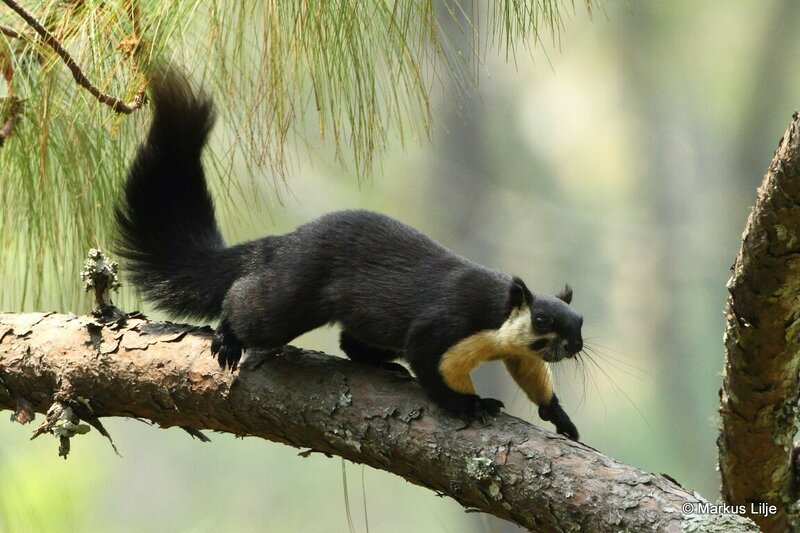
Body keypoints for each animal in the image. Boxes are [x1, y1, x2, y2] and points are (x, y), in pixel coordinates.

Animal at [115, 69, 584, 440]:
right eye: (542, 320)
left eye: (579, 320)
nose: (576, 345)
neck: (495, 313)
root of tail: (284, 242)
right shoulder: (443, 327)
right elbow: (434, 373)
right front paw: (473, 405)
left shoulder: (518, 353)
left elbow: (533, 377)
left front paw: (561, 418)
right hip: (292, 295)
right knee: (245, 303)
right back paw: (228, 340)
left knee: (349, 341)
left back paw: (384, 366)